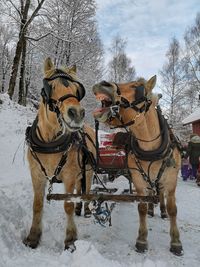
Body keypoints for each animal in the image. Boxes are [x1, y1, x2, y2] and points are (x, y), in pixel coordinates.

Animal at [23, 57, 95, 252]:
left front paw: (70, 240)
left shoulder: (69, 175)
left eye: (78, 90)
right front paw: (33, 237)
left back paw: (85, 210)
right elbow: (37, 205)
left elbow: (67, 205)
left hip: (88, 172)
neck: (50, 144)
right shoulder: (36, 174)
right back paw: (79, 209)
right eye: (50, 87)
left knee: (86, 190)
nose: (77, 113)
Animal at [92, 76, 183, 256]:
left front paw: (176, 242)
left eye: (136, 86)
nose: (103, 84)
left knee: (160, 194)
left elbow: (173, 209)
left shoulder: (171, 182)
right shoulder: (139, 181)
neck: (151, 149)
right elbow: (141, 207)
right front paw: (142, 240)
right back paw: (152, 209)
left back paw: (161, 210)